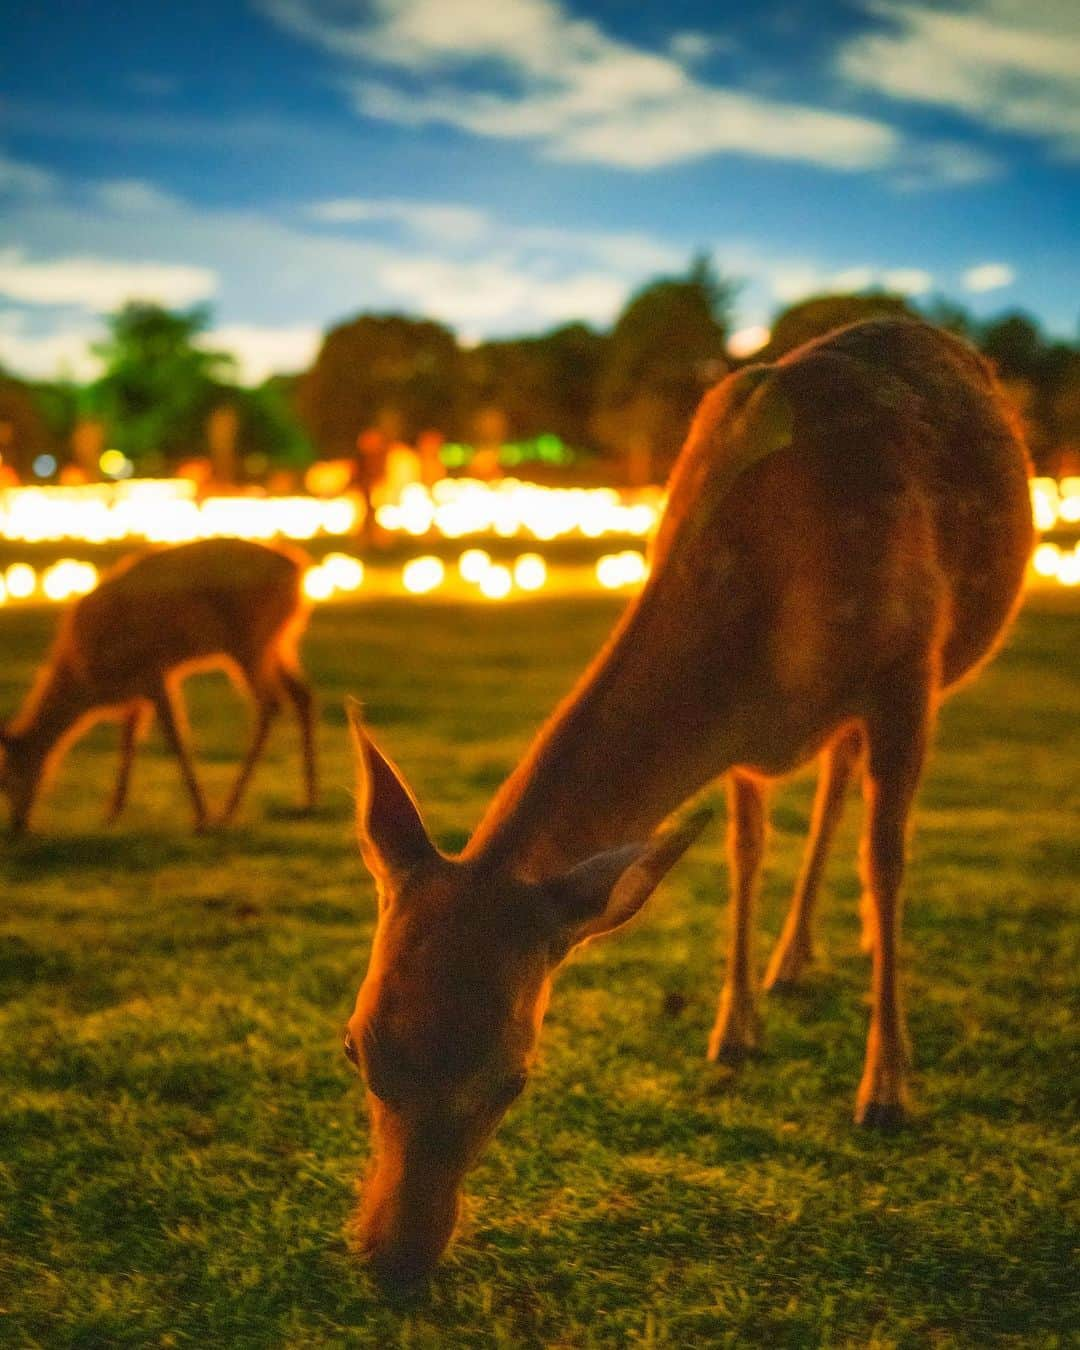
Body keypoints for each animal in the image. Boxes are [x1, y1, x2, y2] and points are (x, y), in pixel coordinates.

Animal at [1, 534, 315, 831]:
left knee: (271, 704)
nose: (18, 825)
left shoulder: (154, 673)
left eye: (8, 777)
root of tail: (297, 571)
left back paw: (228, 811)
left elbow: (174, 738)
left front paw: (202, 817)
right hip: (278, 642)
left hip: (249, 642)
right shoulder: (136, 690)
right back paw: (307, 799)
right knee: (302, 694)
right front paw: (113, 813)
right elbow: (128, 739)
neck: (86, 683)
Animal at [341, 318, 1031, 1285]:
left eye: (516, 1077)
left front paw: (888, 1088)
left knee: (867, 817)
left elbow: (886, 860)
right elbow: (745, 854)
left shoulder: (909, 669)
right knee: (832, 788)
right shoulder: (743, 742)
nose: (392, 1260)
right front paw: (733, 1029)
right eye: (356, 1045)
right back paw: (794, 959)